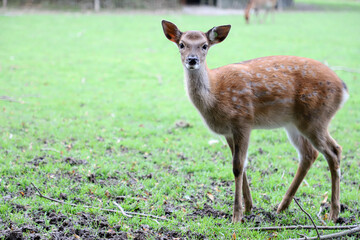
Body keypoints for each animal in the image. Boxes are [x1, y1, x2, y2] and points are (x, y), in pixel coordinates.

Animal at [162, 20, 348, 223]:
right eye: (182, 44)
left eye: (204, 45)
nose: (192, 59)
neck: (215, 94)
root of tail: (343, 89)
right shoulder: (229, 131)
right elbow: (240, 165)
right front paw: (249, 206)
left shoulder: (243, 120)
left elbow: (237, 166)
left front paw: (236, 215)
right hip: (294, 124)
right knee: (309, 154)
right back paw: (282, 207)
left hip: (316, 118)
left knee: (334, 151)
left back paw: (334, 213)